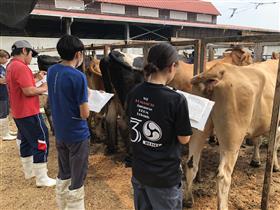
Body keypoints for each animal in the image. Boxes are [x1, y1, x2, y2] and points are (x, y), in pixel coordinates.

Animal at [185, 59, 278, 210]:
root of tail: (219, 71)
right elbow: (274, 145)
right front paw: (275, 166)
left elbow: (257, 140)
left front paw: (256, 160)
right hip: (233, 136)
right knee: (223, 175)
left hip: (199, 128)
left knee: (191, 163)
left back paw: (188, 200)